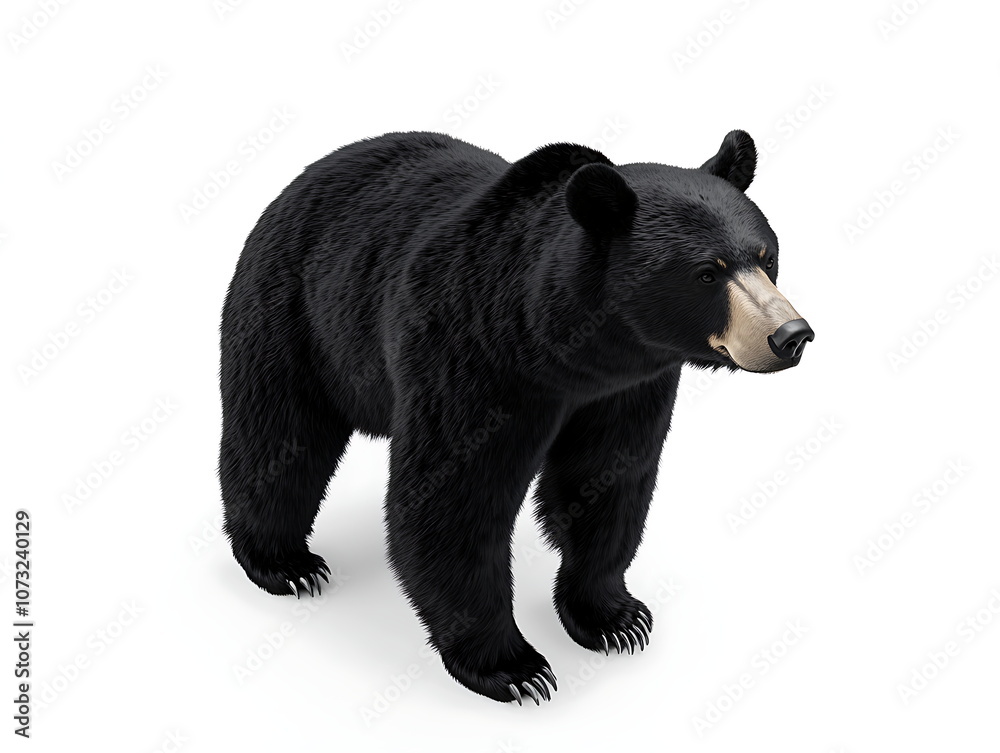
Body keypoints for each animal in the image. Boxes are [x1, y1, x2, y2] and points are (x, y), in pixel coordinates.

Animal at [218, 130, 814, 705]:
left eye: (765, 256)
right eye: (707, 273)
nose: (791, 335)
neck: (567, 348)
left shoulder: (627, 387)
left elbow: (607, 480)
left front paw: (614, 618)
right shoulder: (473, 359)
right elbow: (455, 497)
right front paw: (513, 667)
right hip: (296, 309)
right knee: (278, 432)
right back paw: (285, 563)